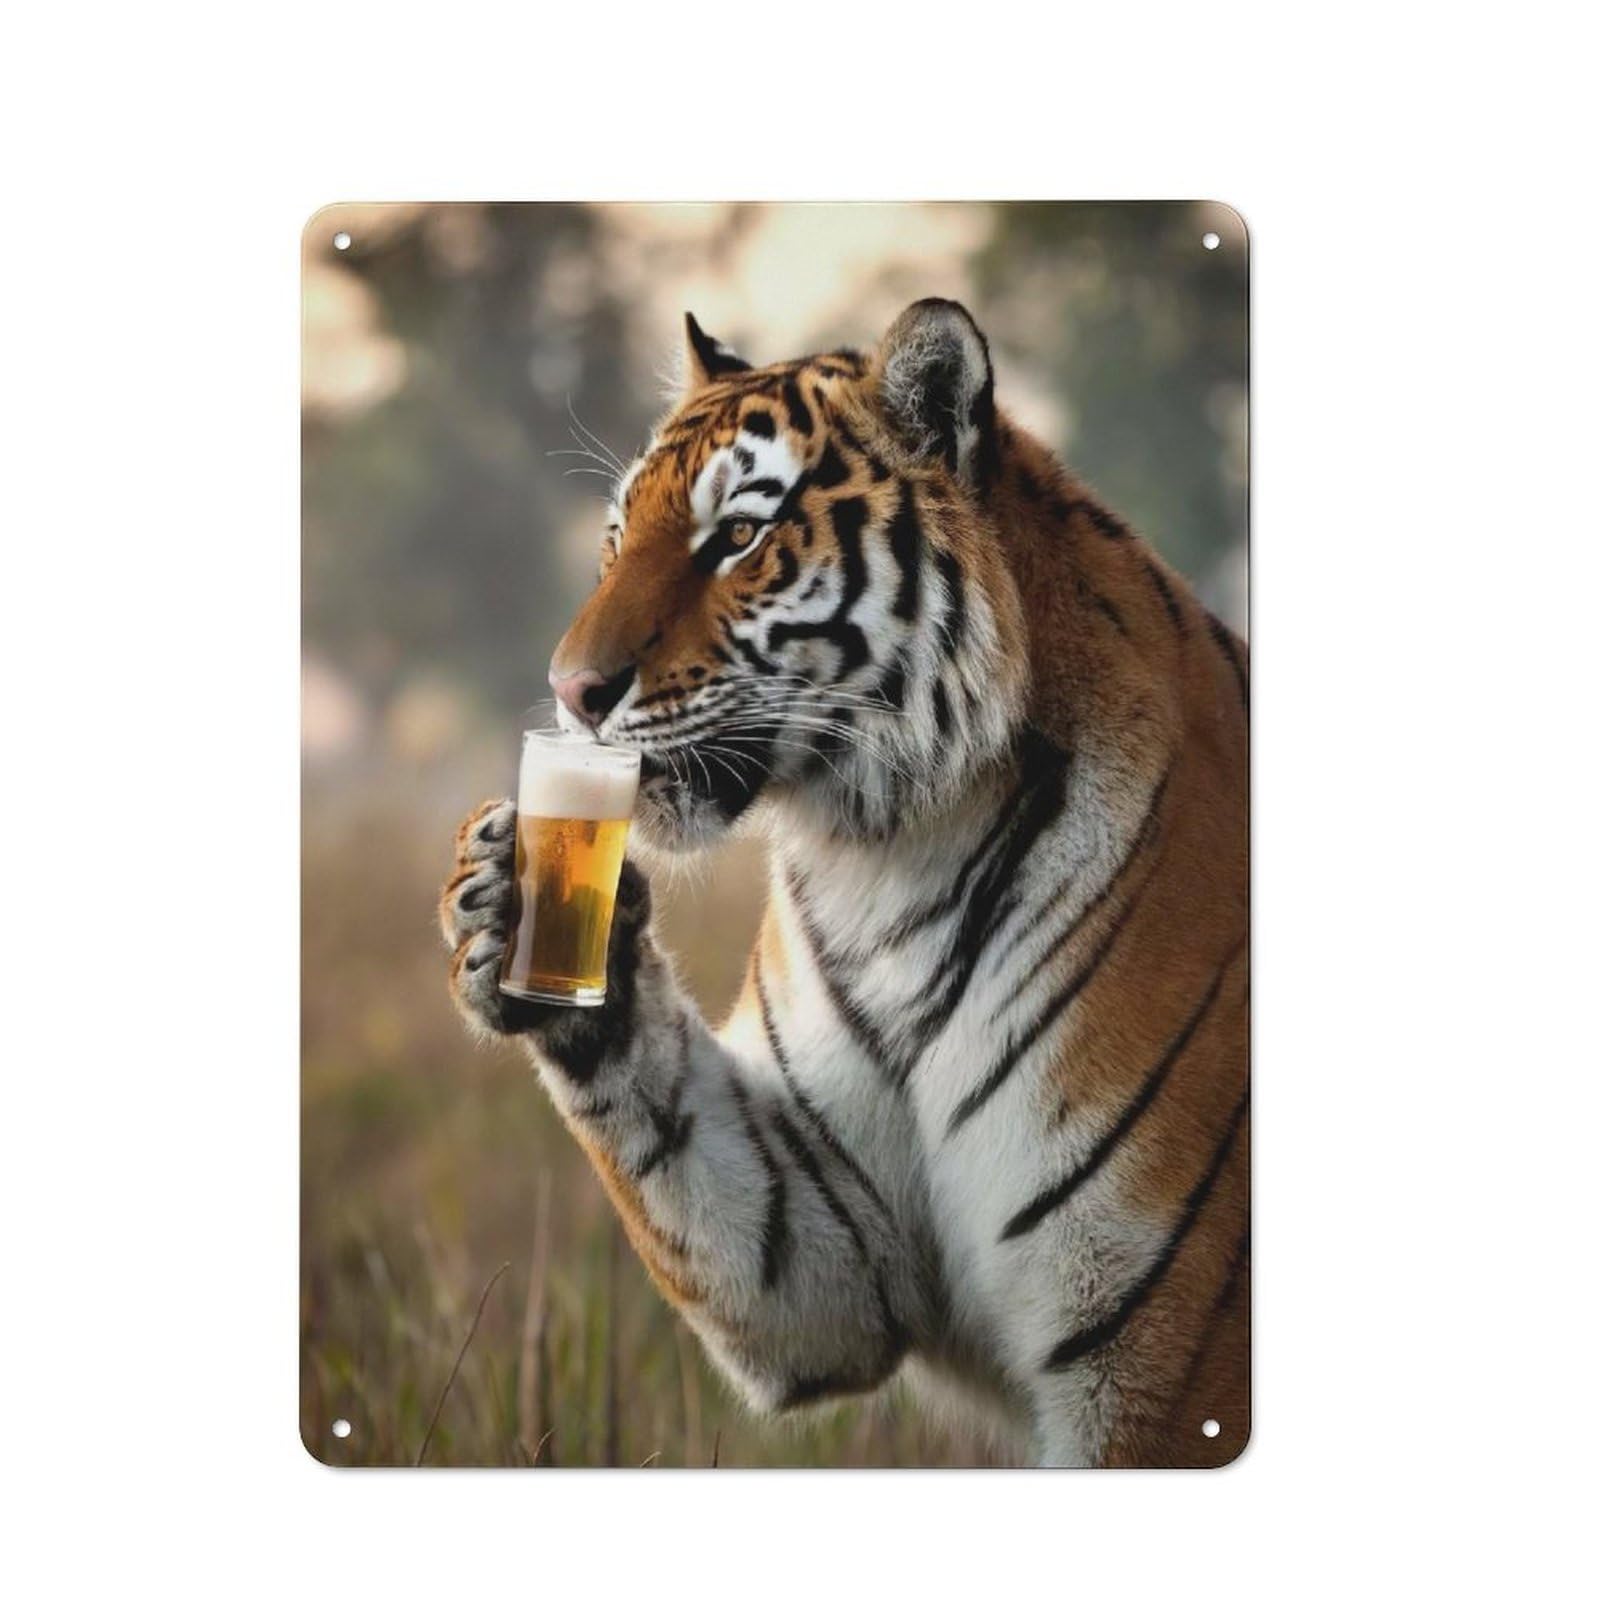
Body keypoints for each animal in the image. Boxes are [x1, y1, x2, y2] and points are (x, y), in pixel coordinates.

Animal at [439, 299, 1250, 1467]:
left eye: (737, 537)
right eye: (615, 537)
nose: (570, 693)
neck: (894, 858)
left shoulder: (1158, 1361)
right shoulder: (831, 1256)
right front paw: (504, 904)